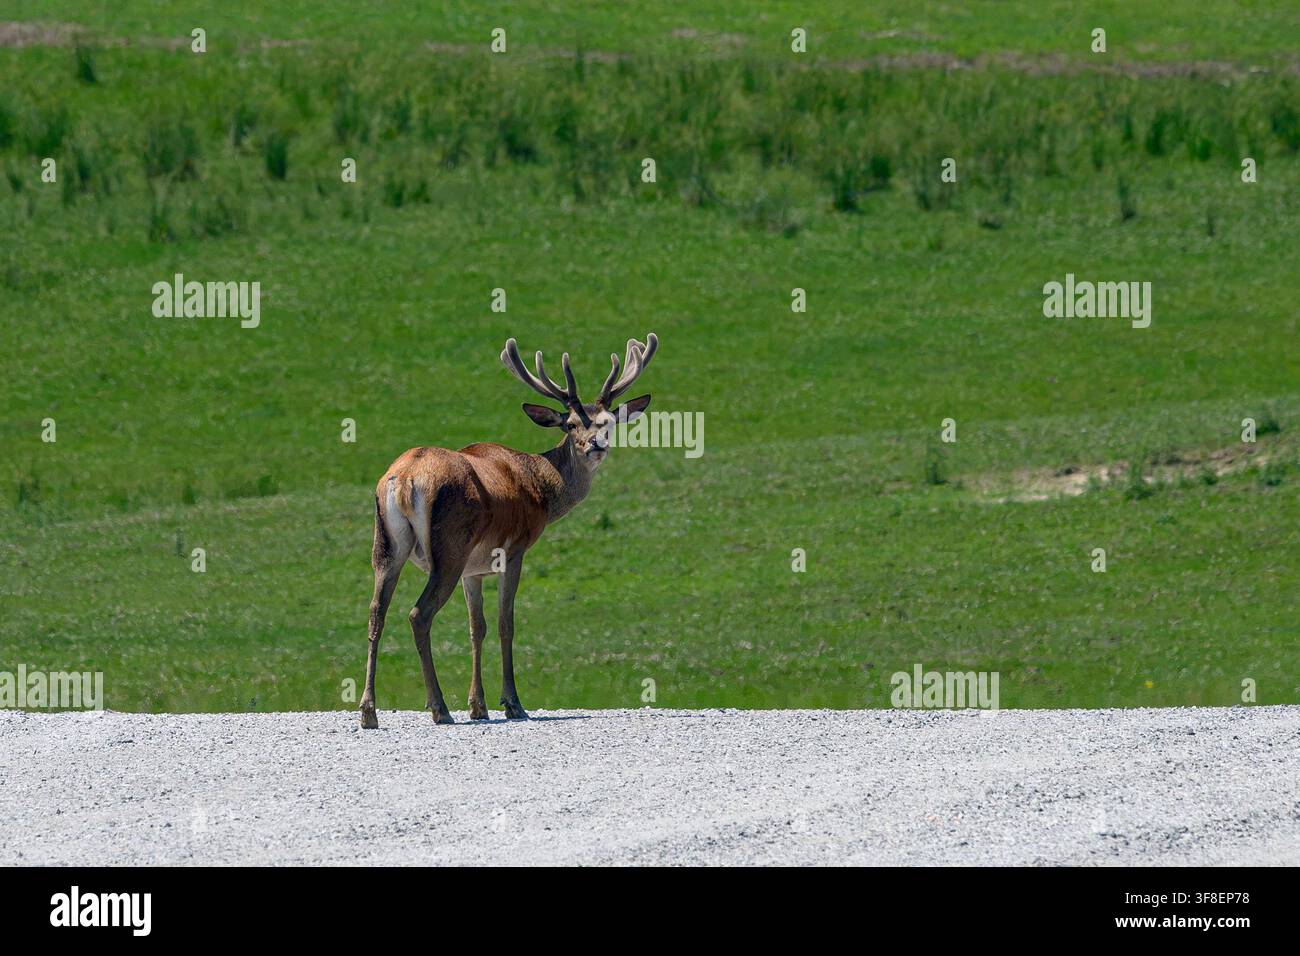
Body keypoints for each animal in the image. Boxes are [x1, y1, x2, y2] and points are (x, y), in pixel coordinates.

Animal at [358, 334, 658, 729]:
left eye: (608, 422)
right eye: (570, 424)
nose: (596, 444)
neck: (542, 492)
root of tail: (405, 478)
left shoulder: (473, 569)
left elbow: (476, 627)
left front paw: (478, 706)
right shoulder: (513, 550)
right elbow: (505, 623)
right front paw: (512, 703)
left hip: (386, 544)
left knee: (376, 612)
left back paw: (368, 711)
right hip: (448, 548)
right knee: (419, 614)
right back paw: (439, 708)